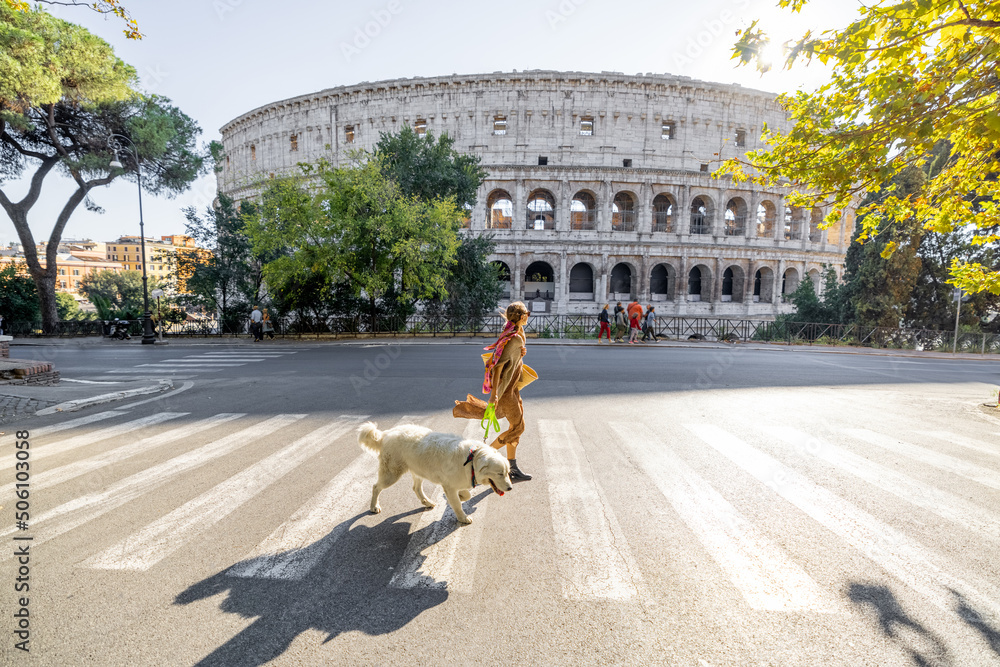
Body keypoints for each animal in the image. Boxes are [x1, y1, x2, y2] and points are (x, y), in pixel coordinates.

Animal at [358, 422, 516, 528]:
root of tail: (386, 433)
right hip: (391, 474)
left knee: (416, 488)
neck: (471, 459)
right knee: (376, 487)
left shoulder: (454, 483)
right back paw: (374, 506)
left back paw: (427, 502)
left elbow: (466, 495)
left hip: (418, 469)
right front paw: (463, 517)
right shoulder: (450, 485)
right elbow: (457, 504)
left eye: (507, 473)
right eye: (499, 473)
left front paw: (461, 496)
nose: (510, 488)